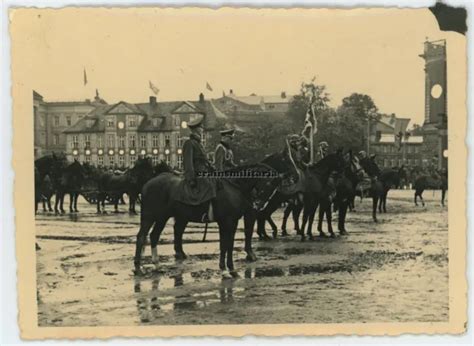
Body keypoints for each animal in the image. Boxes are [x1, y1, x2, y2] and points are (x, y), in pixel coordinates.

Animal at [131, 163, 284, 278]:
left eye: (274, 187)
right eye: (269, 183)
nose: (258, 205)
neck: (233, 186)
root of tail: (147, 183)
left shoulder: (231, 222)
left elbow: (228, 245)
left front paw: (229, 269)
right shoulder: (226, 222)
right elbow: (225, 245)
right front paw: (226, 270)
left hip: (162, 217)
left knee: (154, 236)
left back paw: (157, 265)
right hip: (149, 217)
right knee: (141, 237)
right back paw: (138, 268)